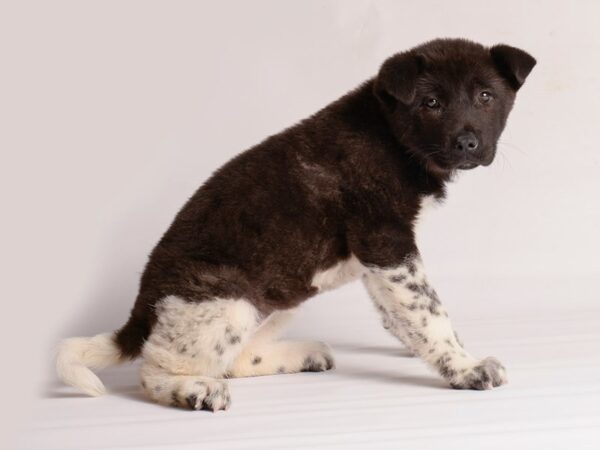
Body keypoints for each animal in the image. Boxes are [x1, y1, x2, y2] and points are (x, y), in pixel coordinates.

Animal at [56, 39, 536, 412]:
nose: (468, 143)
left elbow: (404, 315)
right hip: (227, 302)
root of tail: (142, 306)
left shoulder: (378, 261)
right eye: (431, 103)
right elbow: (428, 312)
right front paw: (465, 367)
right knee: (156, 368)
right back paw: (192, 389)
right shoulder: (385, 242)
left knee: (231, 360)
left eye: (486, 96)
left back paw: (303, 355)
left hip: (280, 299)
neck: (393, 135)